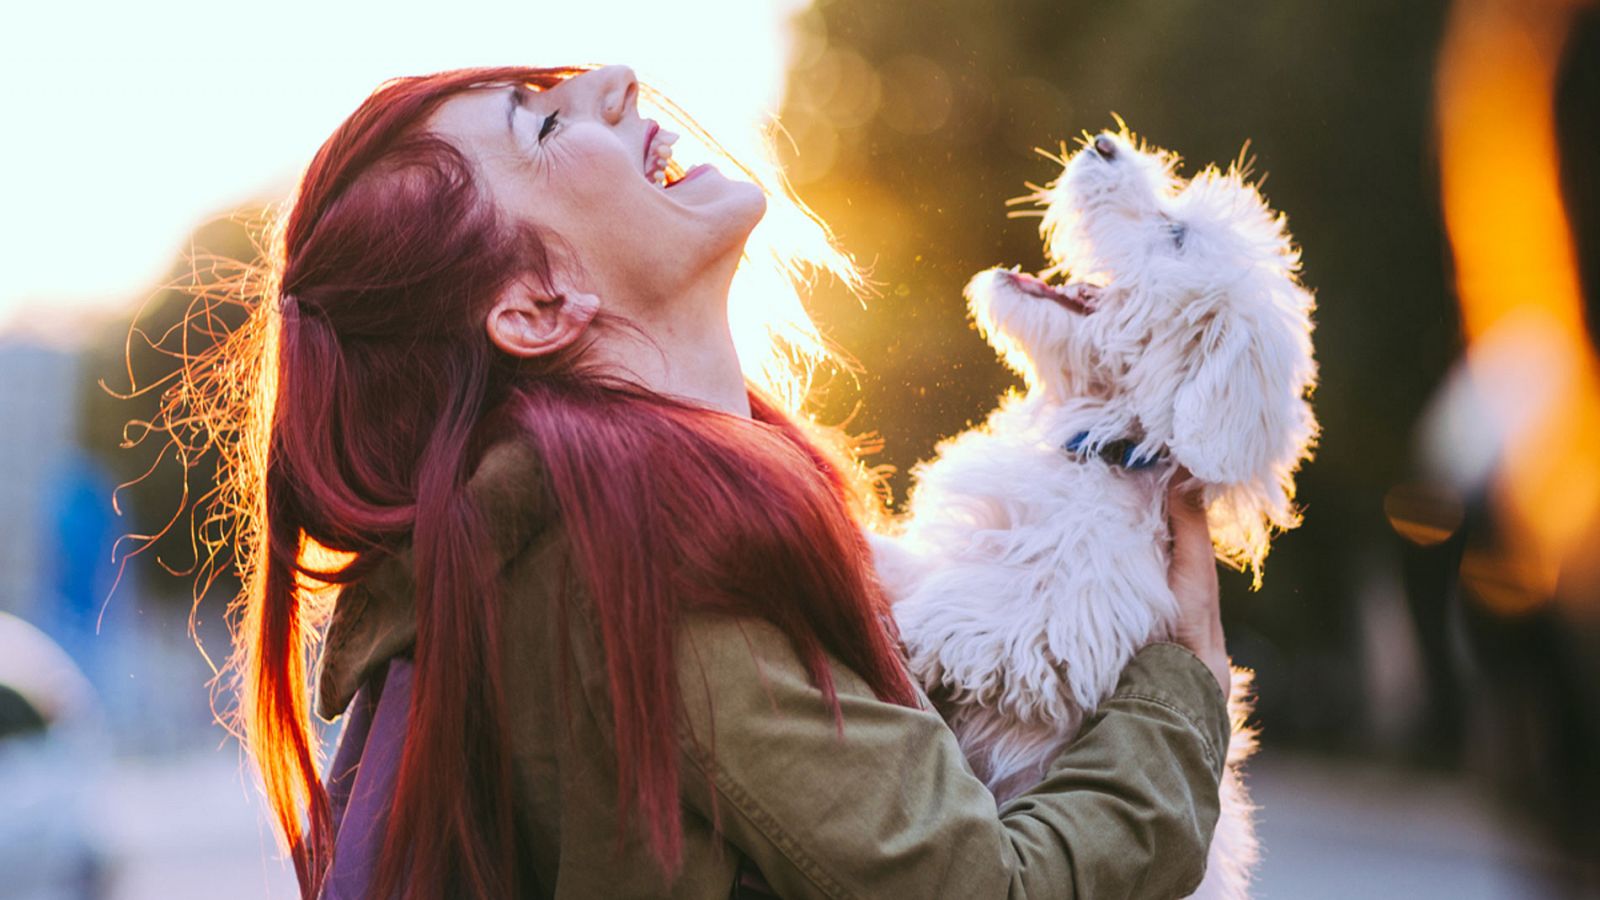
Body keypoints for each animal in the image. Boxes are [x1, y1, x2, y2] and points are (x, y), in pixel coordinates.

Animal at [876, 126, 1312, 896]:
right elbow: (919, 561)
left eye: (1175, 236)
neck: (1102, 446)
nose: (1105, 143)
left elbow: (985, 613)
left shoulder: (1071, 621)